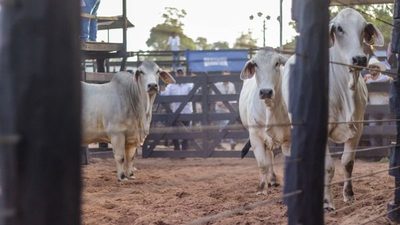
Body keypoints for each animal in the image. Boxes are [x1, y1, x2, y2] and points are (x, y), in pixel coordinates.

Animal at [239, 48, 290, 193]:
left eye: (277, 63)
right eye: (255, 64)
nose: (266, 92)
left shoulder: (287, 138)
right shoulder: (255, 136)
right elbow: (262, 164)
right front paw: (262, 187)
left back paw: (273, 179)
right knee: (268, 157)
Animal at [282, 7, 384, 210]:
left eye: (364, 29)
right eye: (339, 28)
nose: (359, 58)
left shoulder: (358, 128)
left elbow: (348, 162)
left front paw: (349, 195)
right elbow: (328, 167)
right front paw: (327, 201)